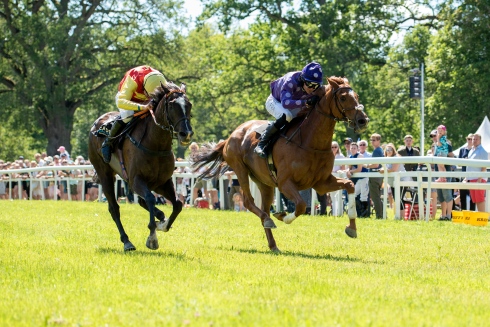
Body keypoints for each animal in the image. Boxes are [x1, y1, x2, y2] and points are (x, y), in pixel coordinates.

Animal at [89, 82, 192, 251]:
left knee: (142, 202)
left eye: (189, 105)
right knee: (114, 208)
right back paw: (127, 242)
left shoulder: (162, 182)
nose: (186, 134)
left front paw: (162, 225)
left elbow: (177, 204)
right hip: (105, 174)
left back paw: (160, 216)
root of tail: (96, 124)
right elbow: (150, 199)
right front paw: (152, 238)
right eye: (172, 105)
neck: (156, 144)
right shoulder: (136, 180)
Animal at [193, 77, 370, 254]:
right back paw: (269, 220)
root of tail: (230, 137)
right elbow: (301, 206)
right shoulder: (285, 183)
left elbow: (349, 185)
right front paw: (282, 216)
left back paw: (273, 243)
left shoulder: (321, 183)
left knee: (263, 208)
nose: (363, 120)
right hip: (240, 169)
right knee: (249, 202)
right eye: (343, 98)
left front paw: (352, 228)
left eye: (357, 96)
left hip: (264, 183)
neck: (310, 142)